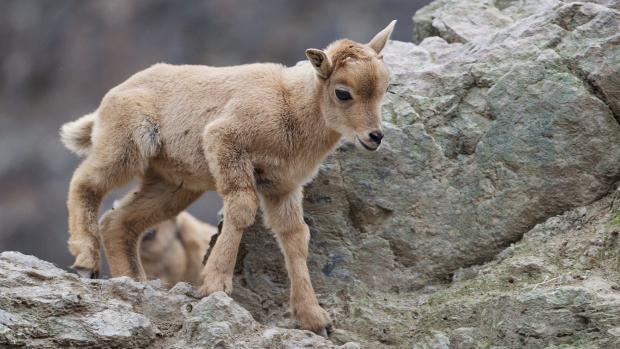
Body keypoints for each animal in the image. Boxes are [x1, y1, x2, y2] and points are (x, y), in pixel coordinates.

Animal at [60, 20, 394, 334]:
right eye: (343, 92)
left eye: (384, 88)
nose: (375, 137)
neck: (292, 107)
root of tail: (107, 103)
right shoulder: (225, 141)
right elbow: (243, 209)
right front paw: (215, 284)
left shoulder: (282, 186)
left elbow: (296, 236)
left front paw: (314, 318)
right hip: (126, 146)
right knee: (84, 183)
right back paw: (86, 261)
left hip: (174, 184)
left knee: (119, 222)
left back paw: (133, 280)